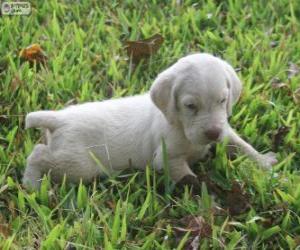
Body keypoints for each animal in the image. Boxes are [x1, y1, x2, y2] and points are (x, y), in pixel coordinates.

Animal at [24, 53, 278, 188]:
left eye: (222, 100)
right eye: (190, 106)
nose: (213, 134)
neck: (180, 125)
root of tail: (58, 118)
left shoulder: (225, 130)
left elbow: (242, 145)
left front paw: (264, 162)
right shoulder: (167, 159)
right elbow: (191, 179)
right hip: (78, 165)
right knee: (38, 154)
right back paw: (32, 184)